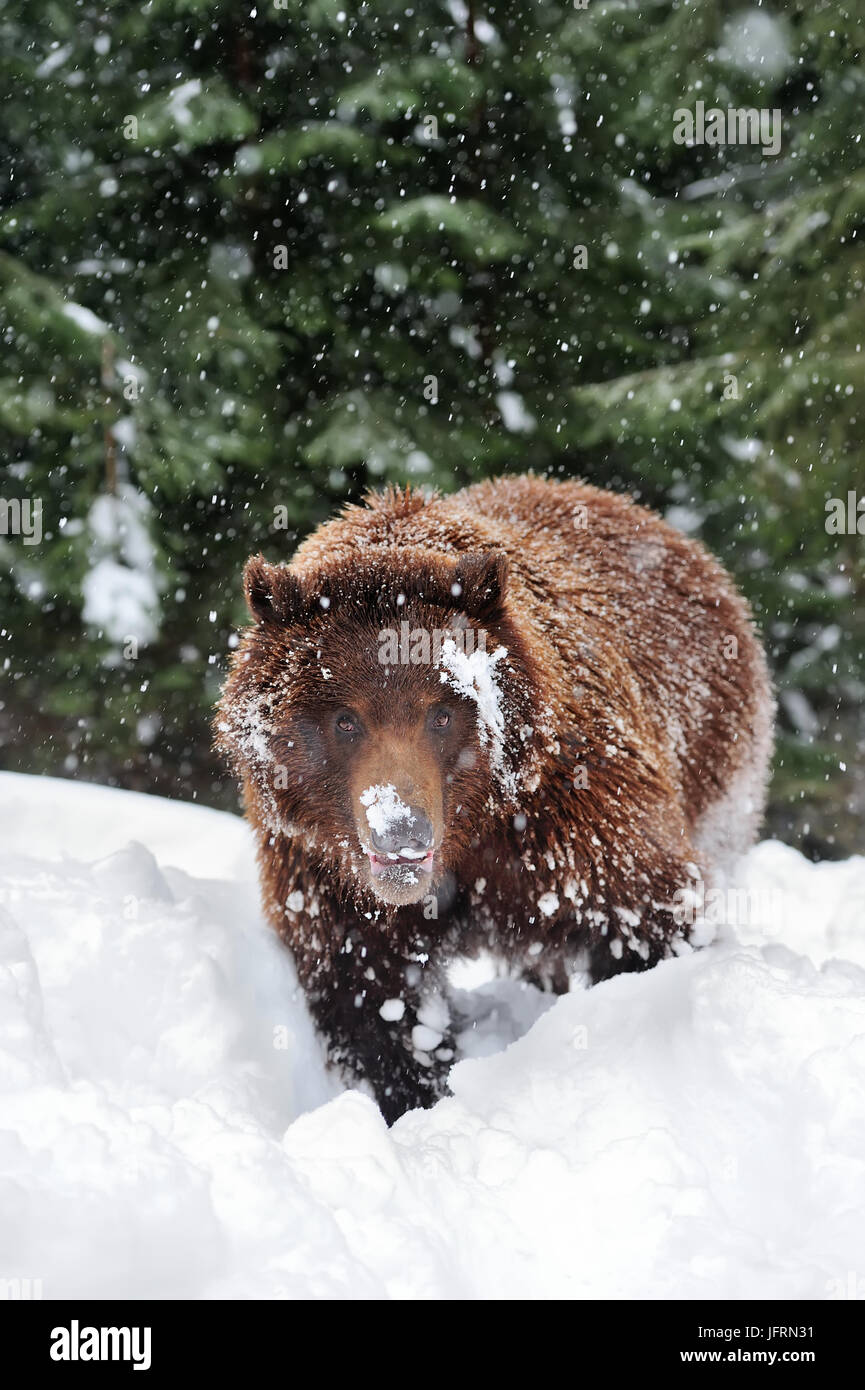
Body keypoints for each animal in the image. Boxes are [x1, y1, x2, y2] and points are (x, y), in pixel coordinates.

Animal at [215, 472, 773, 1123]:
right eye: (345, 720)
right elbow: (371, 992)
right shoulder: (321, 868)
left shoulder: (571, 812)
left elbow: (641, 914)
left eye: (440, 712)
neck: (471, 836)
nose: (401, 830)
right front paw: (415, 1096)